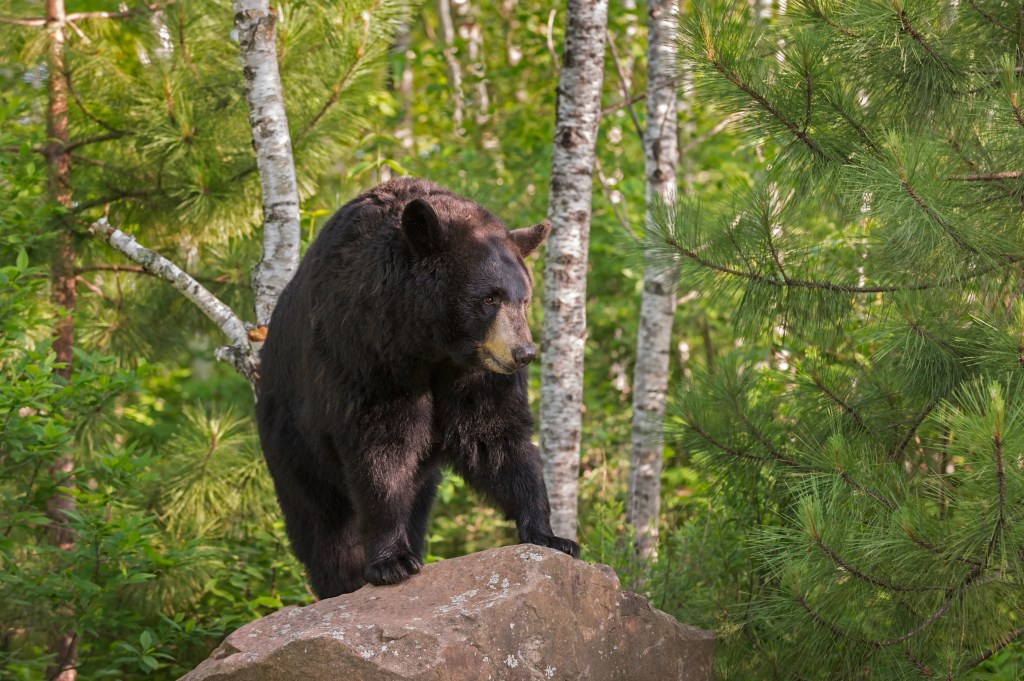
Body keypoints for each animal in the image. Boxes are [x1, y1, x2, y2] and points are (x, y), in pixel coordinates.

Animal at [255, 177, 580, 599]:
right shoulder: (366, 352)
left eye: (523, 299)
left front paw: (549, 535)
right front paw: (392, 561)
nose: (524, 353)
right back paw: (342, 582)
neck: (430, 344)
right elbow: (382, 448)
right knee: (323, 523)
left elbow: (496, 436)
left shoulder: (474, 374)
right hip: (293, 441)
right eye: (489, 297)